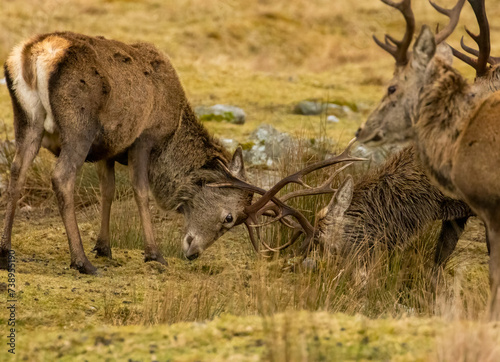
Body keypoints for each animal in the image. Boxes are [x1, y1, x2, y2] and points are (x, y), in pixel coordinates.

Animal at [0, 31, 360, 274]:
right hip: (79, 126)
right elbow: (140, 192)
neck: (173, 130)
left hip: (26, 120)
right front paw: (153, 253)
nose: (193, 252)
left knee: (16, 173)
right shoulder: (142, 139)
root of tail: (30, 56)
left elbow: (108, 191)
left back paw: (5, 252)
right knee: (61, 177)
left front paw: (104, 246)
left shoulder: (110, 149)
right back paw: (81, 261)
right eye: (229, 218)